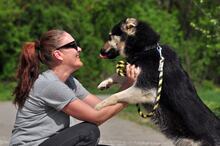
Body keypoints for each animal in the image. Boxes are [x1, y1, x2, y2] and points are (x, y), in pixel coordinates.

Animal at [95, 17, 220, 145]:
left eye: (110, 36)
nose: (100, 51)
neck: (146, 48)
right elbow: (118, 75)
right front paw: (105, 83)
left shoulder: (145, 91)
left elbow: (114, 96)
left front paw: (99, 106)